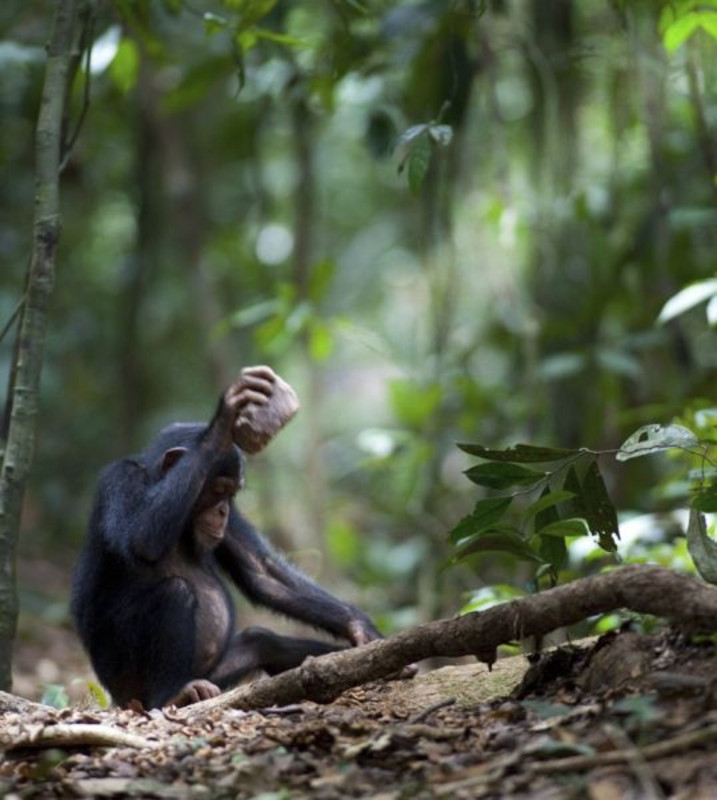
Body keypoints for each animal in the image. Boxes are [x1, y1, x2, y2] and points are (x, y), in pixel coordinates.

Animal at [72, 366, 380, 708]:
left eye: (231, 494)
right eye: (218, 488)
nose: (221, 511)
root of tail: (117, 697)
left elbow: (262, 571)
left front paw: (360, 627)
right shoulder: (120, 480)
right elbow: (141, 539)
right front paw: (226, 416)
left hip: (215, 673)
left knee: (261, 642)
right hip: (127, 683)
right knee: (175, 592)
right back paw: (173, 693)